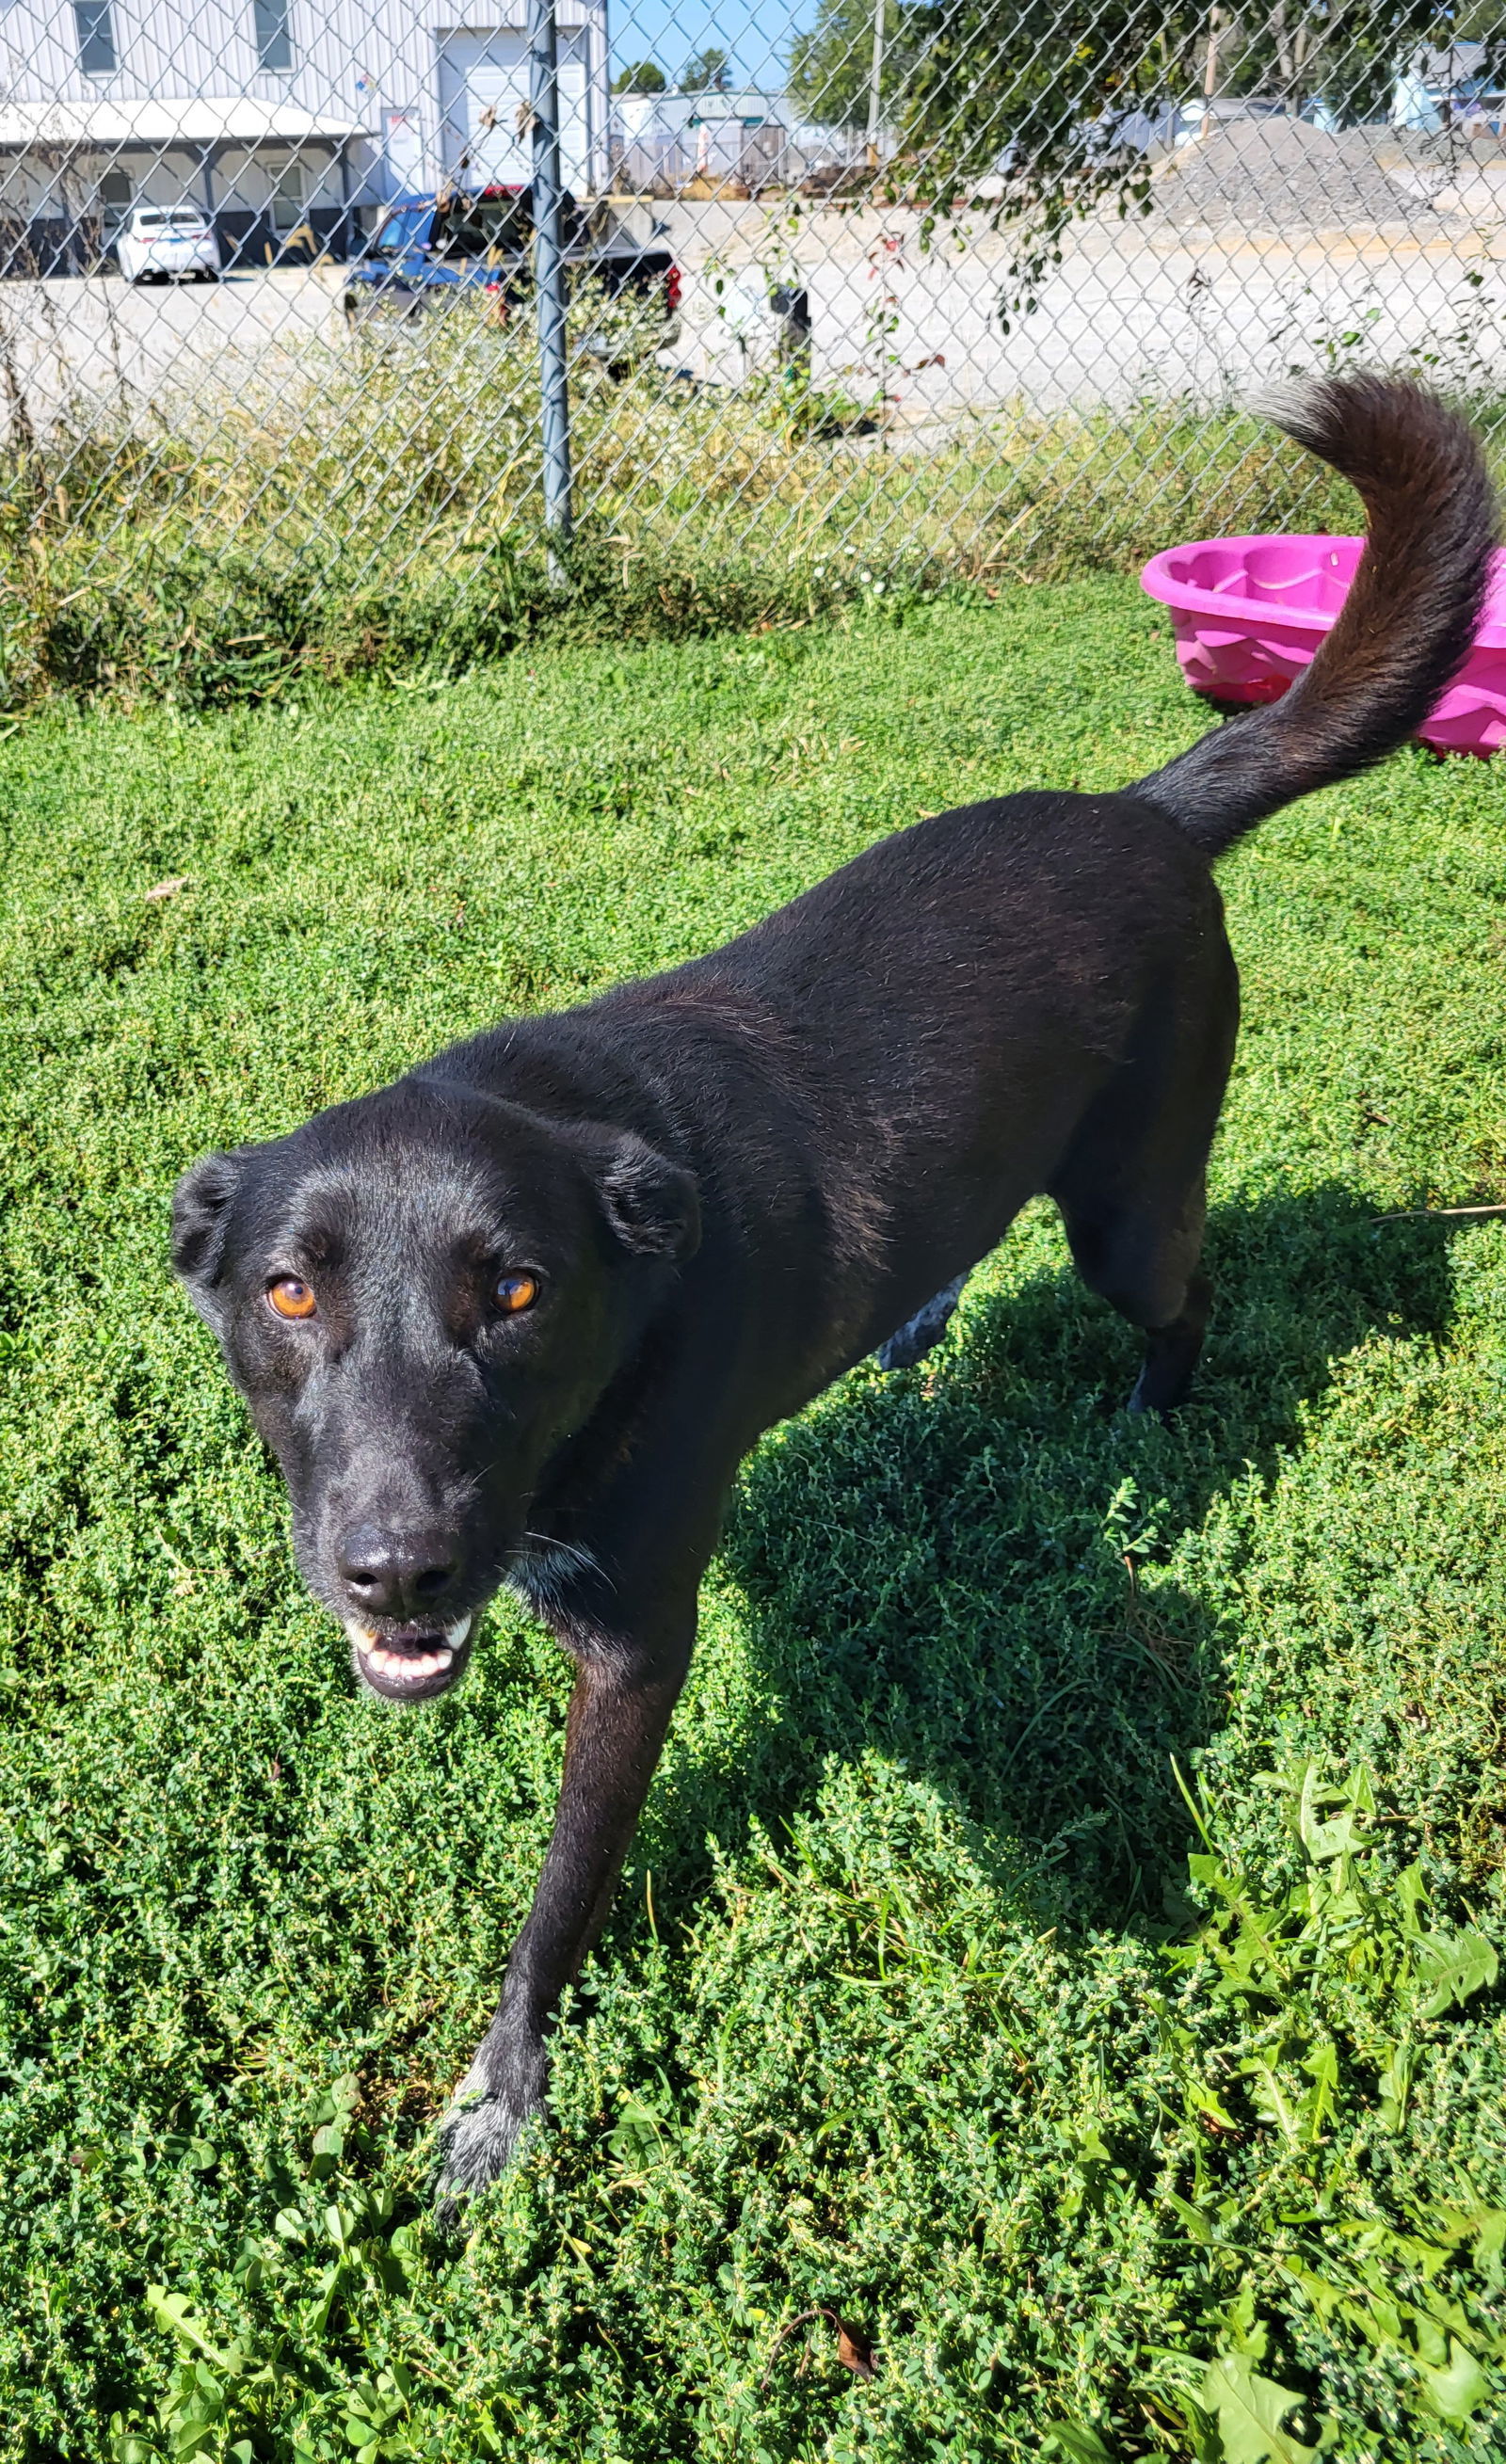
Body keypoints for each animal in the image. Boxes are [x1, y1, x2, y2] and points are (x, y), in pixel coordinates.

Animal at [173, 379, 1498, 2198]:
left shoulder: (637, 1651)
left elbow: (558, 1902)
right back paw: (922, 1325)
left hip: (1129, 1207)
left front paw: (502, 2095)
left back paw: (1149, 1427)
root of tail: (1146, 809)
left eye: (516, 1293)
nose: (396, 1569)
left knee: (1187, 1294)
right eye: (291, 1297)